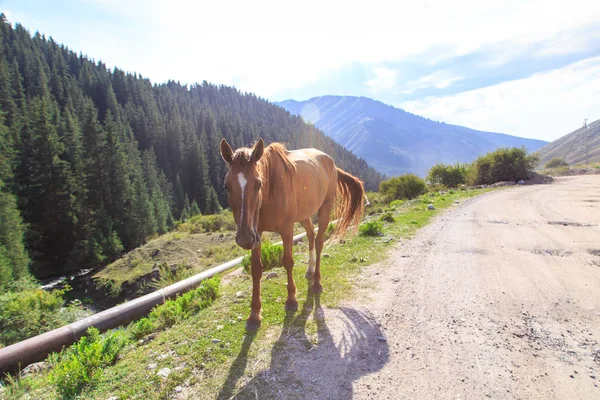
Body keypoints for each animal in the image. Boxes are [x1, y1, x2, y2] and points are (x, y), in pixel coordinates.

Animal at [218, 139, 364, 330]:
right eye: (227, 186)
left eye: (258, 184)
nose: (244, 239)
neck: (270, 192)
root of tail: (331, 162)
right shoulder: (256, 232)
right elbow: (256, 269)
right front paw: (254, 313)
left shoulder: (286, 229)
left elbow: (288, 262)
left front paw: (291, 299)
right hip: (304, 215)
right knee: (310, 234)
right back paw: (310, 270)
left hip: (325, 209)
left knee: (319, 242)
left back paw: (317, 281)